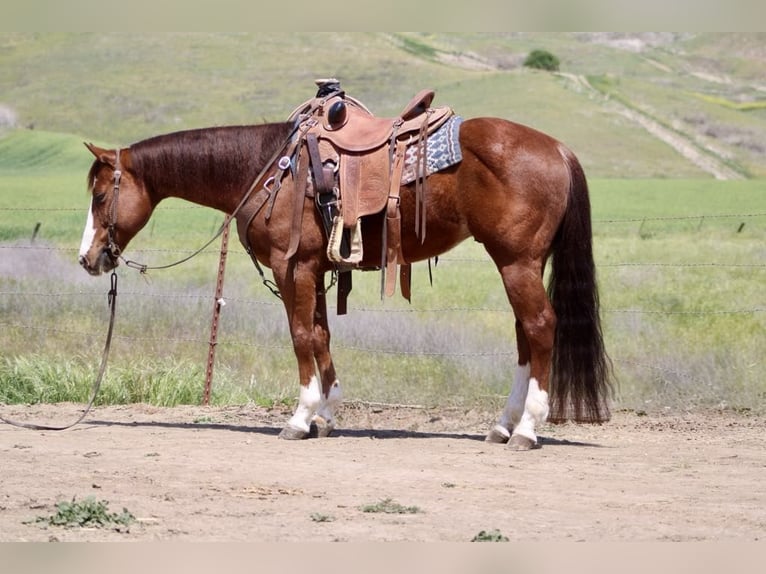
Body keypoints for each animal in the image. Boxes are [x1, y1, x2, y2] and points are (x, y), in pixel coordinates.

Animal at [78, 98, 612, 451]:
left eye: (101, 196)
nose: (89, 258)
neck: (268, 169)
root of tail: (557, 149)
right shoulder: (315, 269)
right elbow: (320, 335)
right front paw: (327, 415)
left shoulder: (292, 266)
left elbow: (299, 335)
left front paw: (299, 418)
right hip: (521, 263)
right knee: (525, 334)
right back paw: (503, 424)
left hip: (517, 262)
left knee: (540, 327)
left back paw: (526, 429)